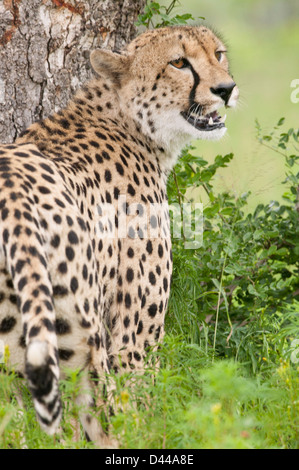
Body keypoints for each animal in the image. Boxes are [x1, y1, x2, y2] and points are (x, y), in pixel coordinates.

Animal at [0, 24, 239, 444]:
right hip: (79, 330)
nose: (226, 89)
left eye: (219, 54)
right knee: (92, 415)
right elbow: (142, 400)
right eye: (179, 63)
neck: (130, 121)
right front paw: (152, 436)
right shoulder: (134, 333)